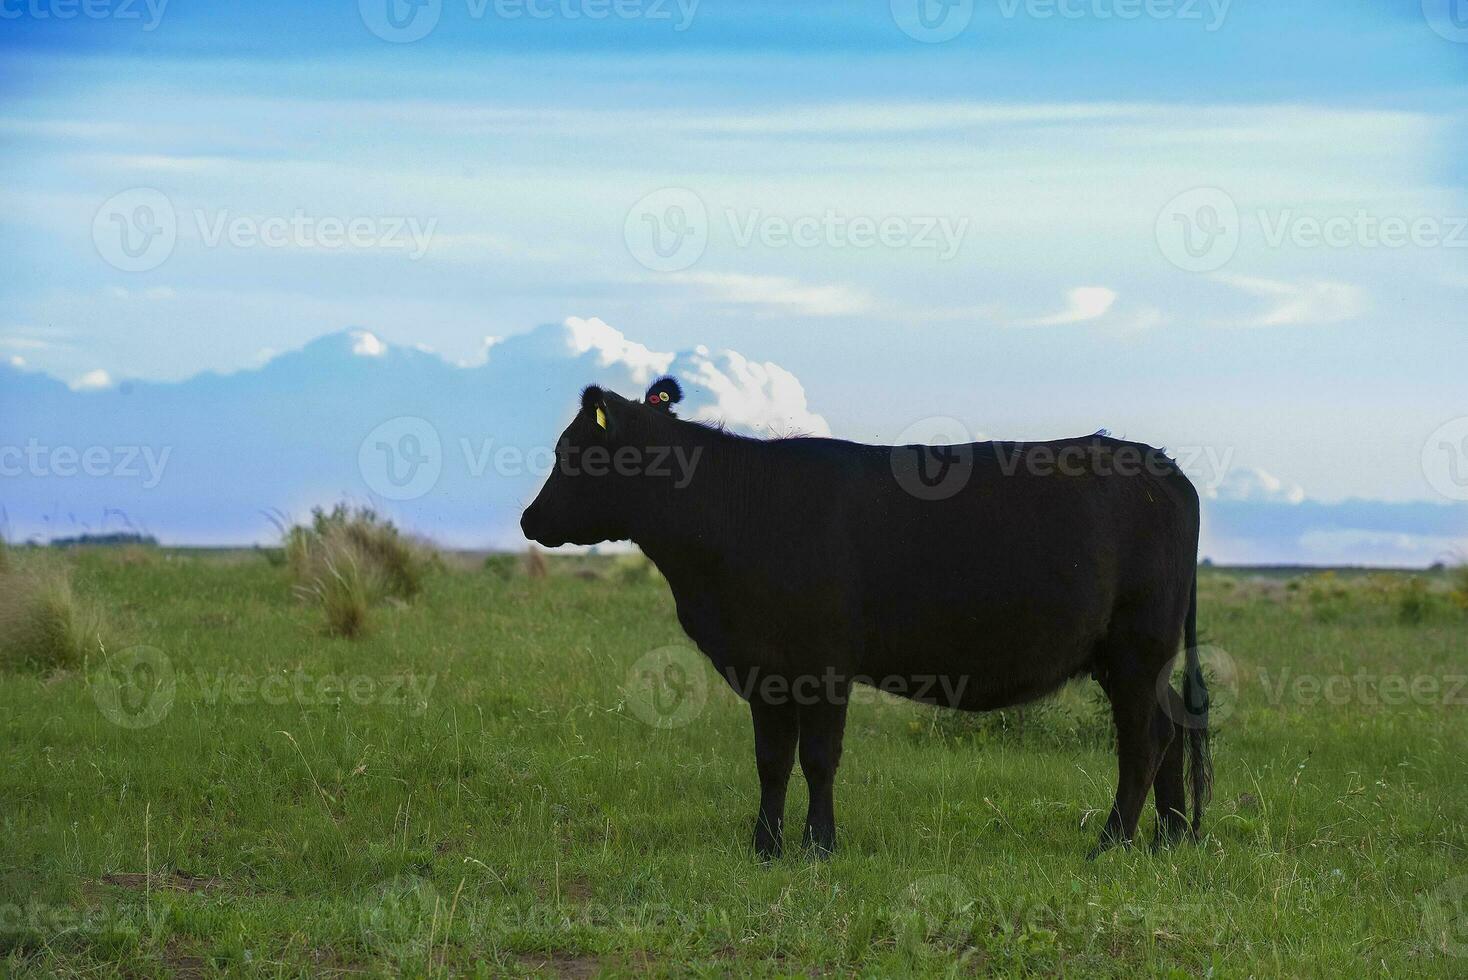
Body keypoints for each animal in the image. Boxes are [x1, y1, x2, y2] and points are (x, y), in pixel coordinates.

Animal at [522, 375, 1209, 856]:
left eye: (572, 452)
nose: (529, 520)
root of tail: (1163, 467)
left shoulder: (823, 664)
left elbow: (819, 757)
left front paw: (818, 846)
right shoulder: (764, 667)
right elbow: (771, 759)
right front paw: (765, 847)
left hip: (1137, 648)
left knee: (1145, 737)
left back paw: (1112, 843)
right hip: (1135, 658)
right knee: (1174, 727)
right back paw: (1168, 839)